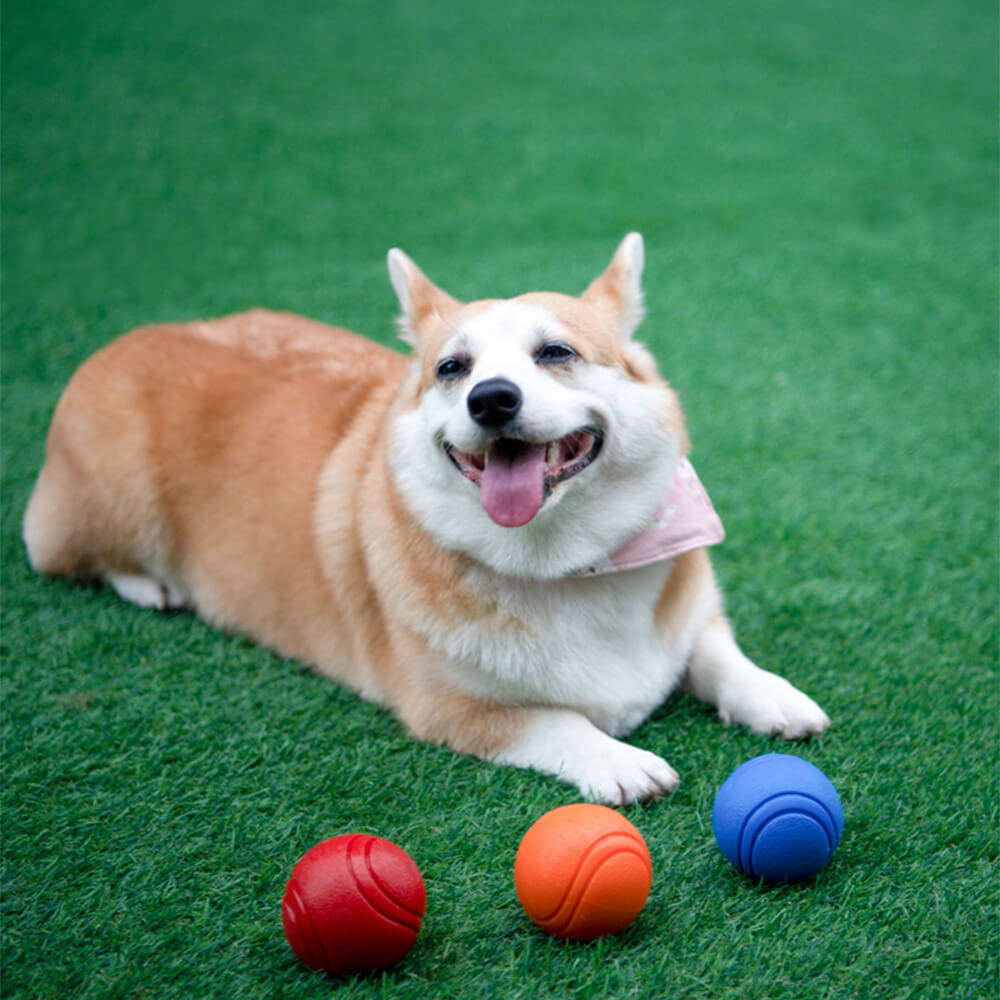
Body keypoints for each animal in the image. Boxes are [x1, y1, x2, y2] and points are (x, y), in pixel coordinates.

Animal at [27, 234, 832, 804]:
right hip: (114, 505)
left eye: (556, 352)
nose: (492, 399)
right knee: (71, 556)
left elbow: (717, 652)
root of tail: (128, 337)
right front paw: (621, 761)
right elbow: (558, 719)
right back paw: (152, 586)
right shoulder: (452, 710)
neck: (569, 563)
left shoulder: (693, 617)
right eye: (453, 369)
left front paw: (776, 696)